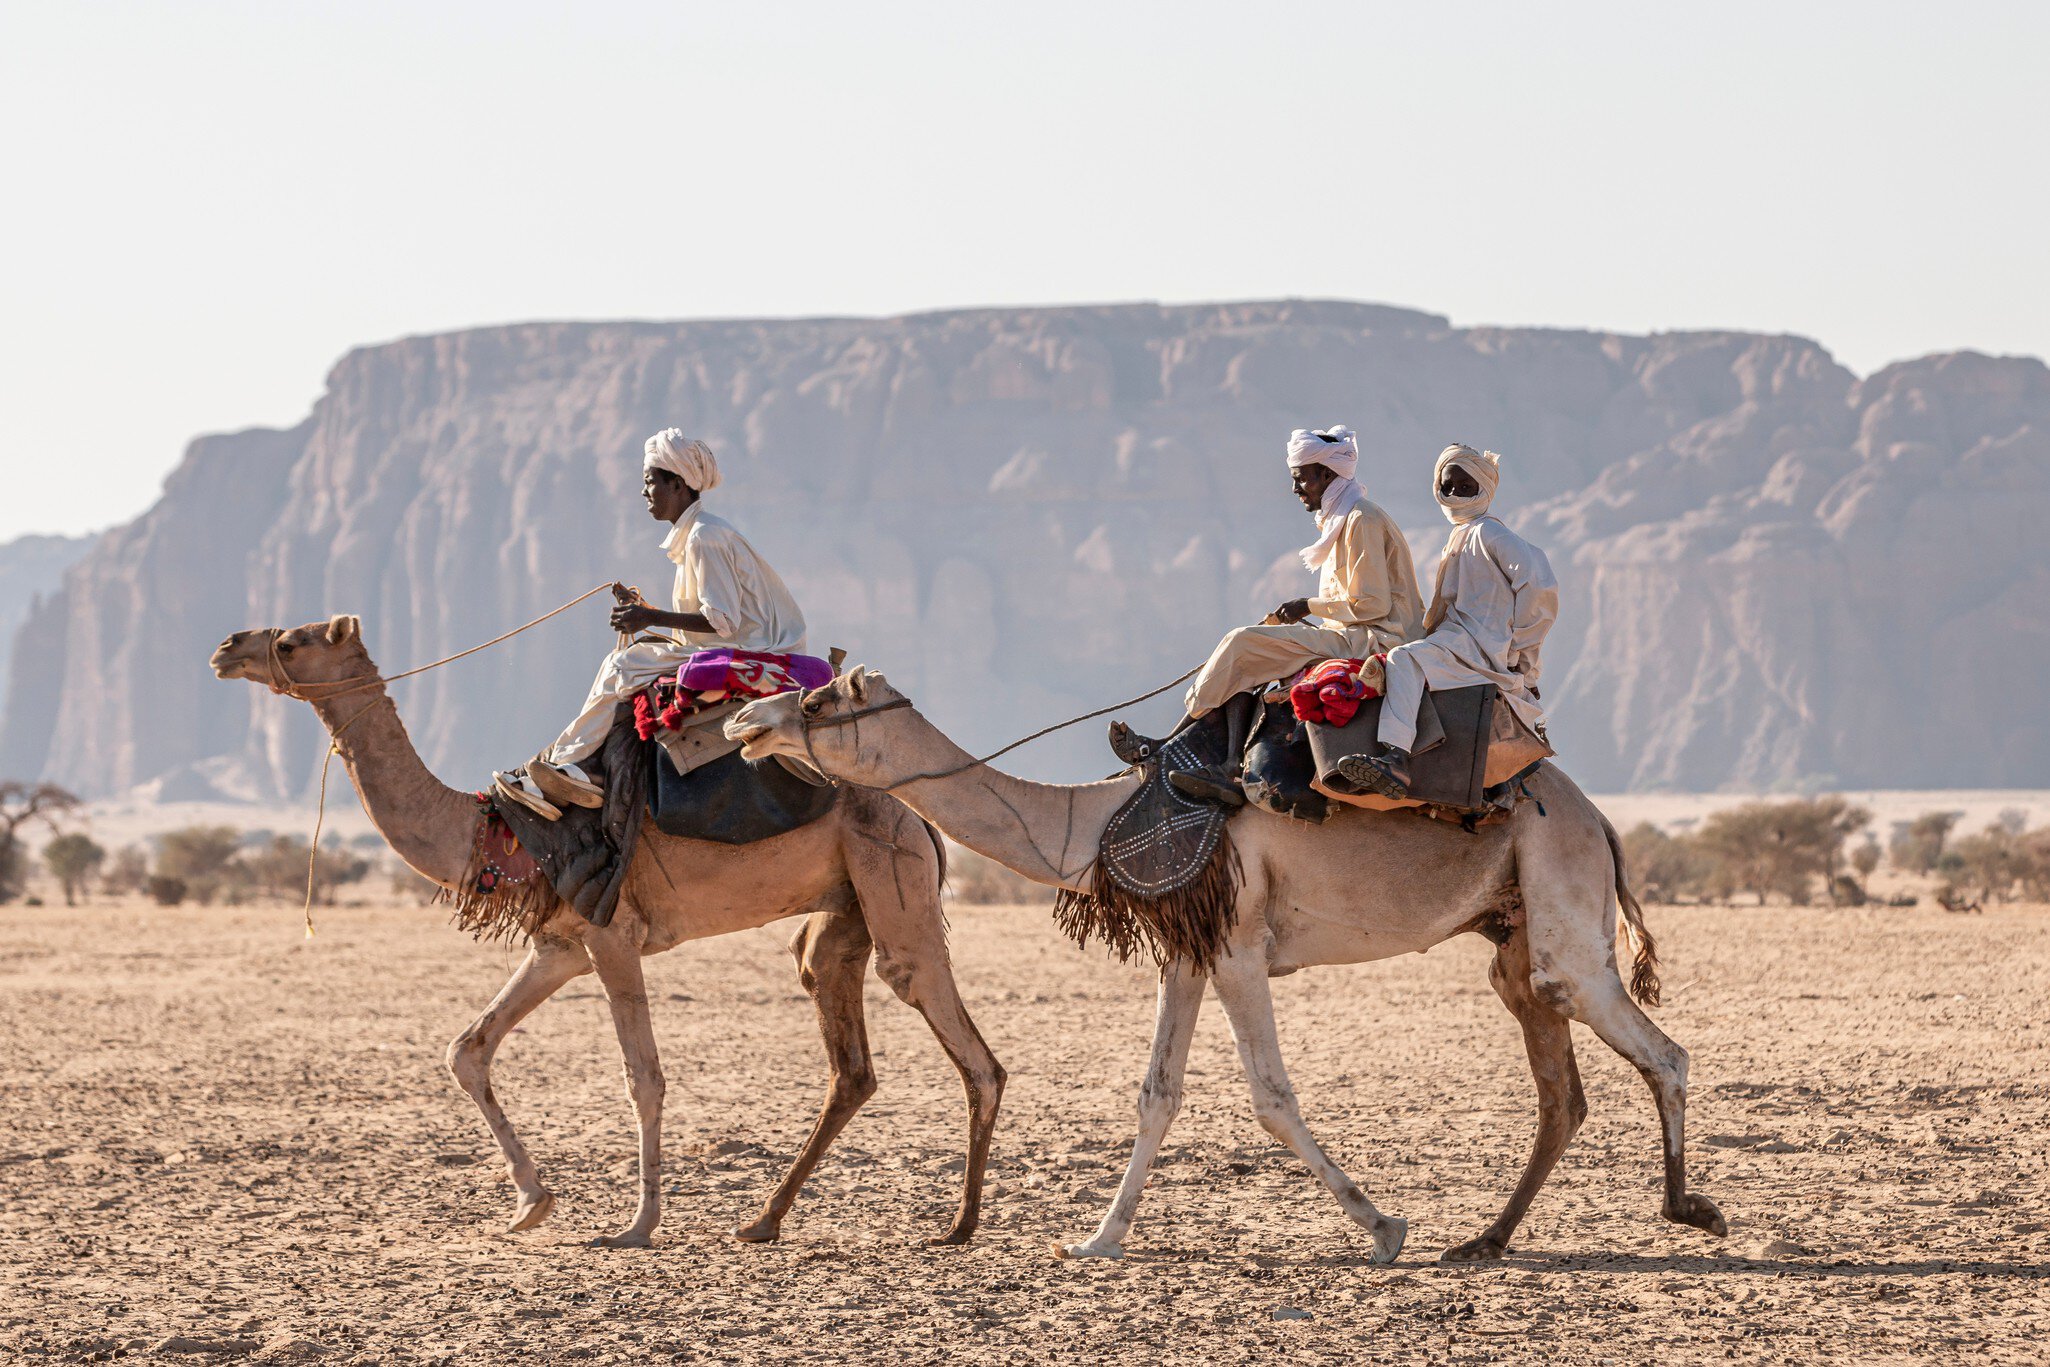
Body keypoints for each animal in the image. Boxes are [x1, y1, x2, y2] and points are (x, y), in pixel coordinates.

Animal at [209, 617, 1003, 1249]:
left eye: (292, 639)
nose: (226, 646)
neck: (507, 835)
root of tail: (921, 818)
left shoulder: (613, 933)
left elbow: (643, 1078)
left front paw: (635, 1226)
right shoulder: (561, 943)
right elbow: (467, 1049)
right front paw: (531, 1204)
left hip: (892, 879)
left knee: (961, 1039)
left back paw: (958, 1224)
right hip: (844, 910)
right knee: (846, 1048)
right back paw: (764, 1219)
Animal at [727, 668, 1728, 1264]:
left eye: (815, 702)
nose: (743, 718)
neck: (1092, 821)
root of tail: (1600, 819)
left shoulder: (1240, 941)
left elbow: (1270, 1095)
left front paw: (1384, 1226)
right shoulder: (1189, 946)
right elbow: (1156, 1093)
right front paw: (1097, 1239)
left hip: (1563, 904)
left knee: (1662, 1050)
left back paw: (1690, 1209)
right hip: (1514, 933)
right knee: (1561, 1086)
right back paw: (1486, 1238)